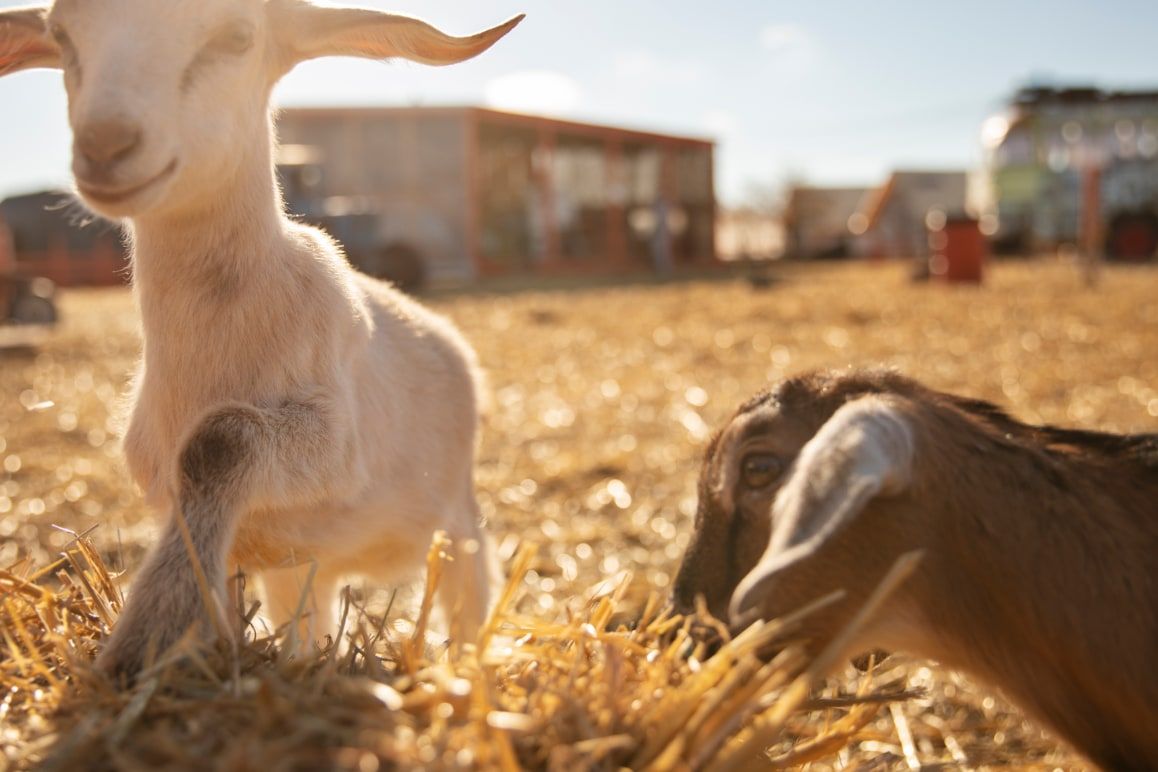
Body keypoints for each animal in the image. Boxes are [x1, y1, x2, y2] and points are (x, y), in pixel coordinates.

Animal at [0, 1, 522, 678]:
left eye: (238, 35)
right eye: (62, 35)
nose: (105, 145)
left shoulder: (335, 441)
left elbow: (221, 439)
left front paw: (145, 638)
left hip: (457, 517)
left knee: (469, 587)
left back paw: (462, 663)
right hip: (305, 565)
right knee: (311, 615)